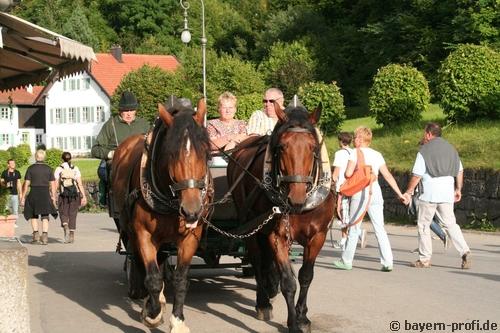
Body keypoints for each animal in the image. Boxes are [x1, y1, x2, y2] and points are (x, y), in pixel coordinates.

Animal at [111, 98, 211, 332]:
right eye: (171, 153)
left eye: (205, 152)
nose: (191, 211)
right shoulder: (144, 234)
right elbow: (153, 278)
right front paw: (152, 314)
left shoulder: (190, 237)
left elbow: (181, 279)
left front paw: (178, 321)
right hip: (128, 229)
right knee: (142, 264)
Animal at [228, 102, 336, 330]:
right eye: (281, 147)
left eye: (313, 148)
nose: (296, 198)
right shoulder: (277, 235)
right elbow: (288, 281)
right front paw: (293, 323)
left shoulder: (318, 236)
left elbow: (306, 276)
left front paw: (302, 316)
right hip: (250, 225)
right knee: (257, 261)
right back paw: (262, 302)